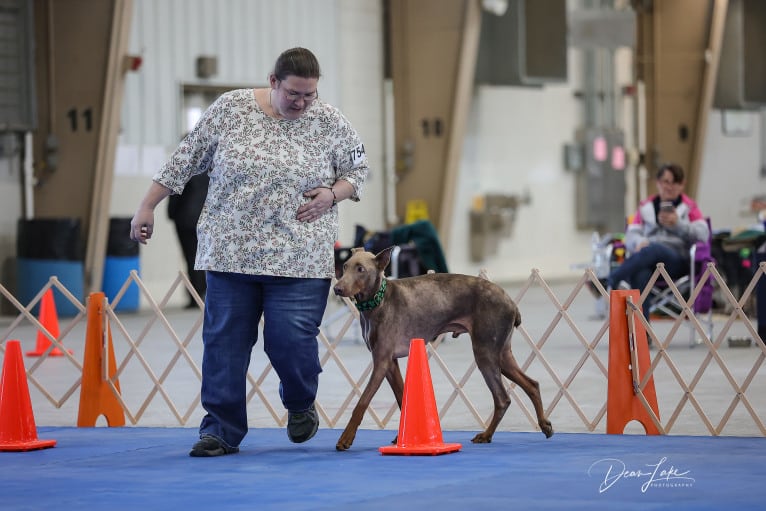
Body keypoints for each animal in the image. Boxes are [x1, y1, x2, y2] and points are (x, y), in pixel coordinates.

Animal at [332, 248, 556, 452]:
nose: (337, 289)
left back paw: (486, 435)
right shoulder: (391, 363)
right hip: (502, 354)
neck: (378, 301)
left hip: (485, 352)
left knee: (502, 398)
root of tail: (511, 303)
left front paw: (346, 438)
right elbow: (403, 398)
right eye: (345, 266)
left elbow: (362, 402)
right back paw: (544, 425)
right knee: (532, 384)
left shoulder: (382, 360)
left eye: (360, 269)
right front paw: (405, 438)